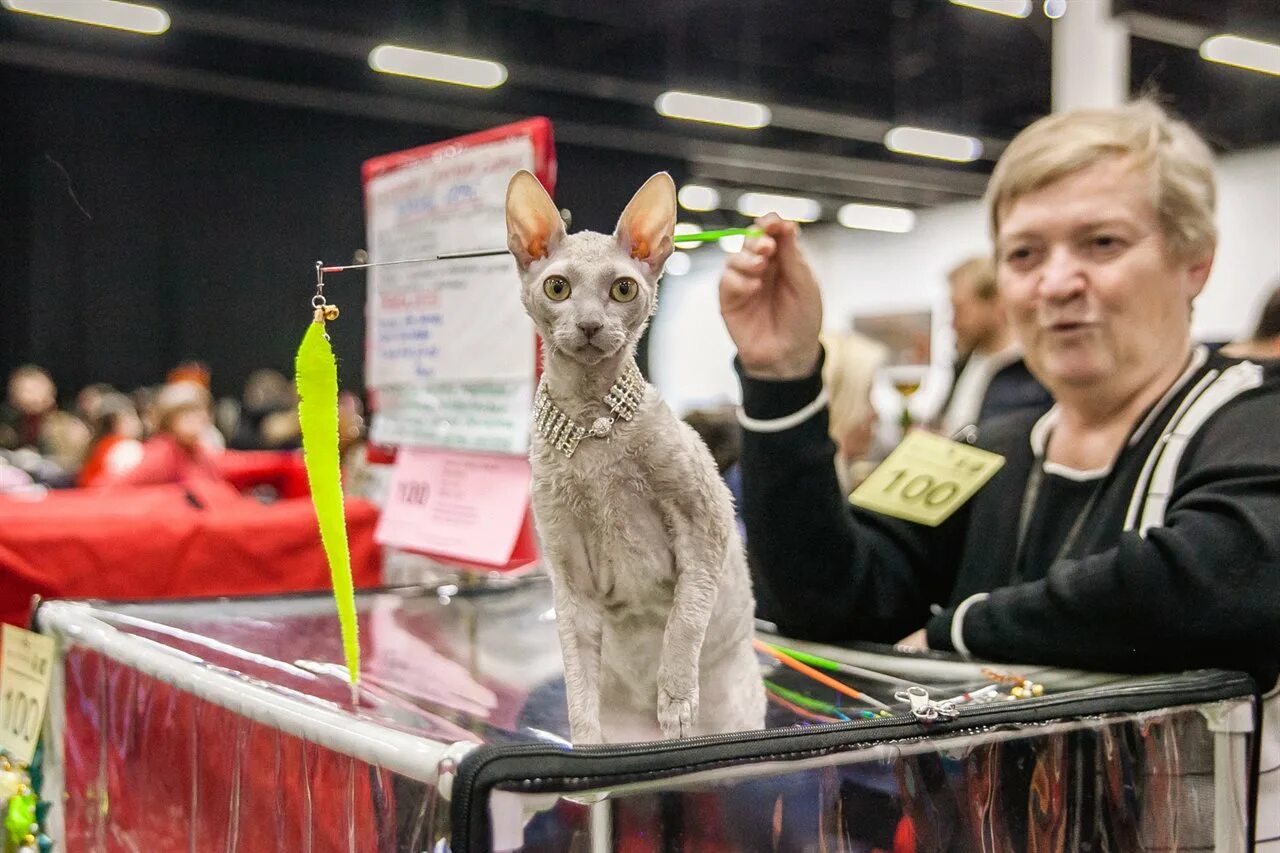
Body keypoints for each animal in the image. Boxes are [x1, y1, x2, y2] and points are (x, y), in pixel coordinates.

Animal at [504, 171, 762, 737]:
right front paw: (586, 742)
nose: (590, 325)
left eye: (623, 289)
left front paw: (677, 700)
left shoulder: (708, 519)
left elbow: (685, 619)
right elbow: (577, 672)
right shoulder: (568, 573)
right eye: (558, 287)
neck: (590, 426)